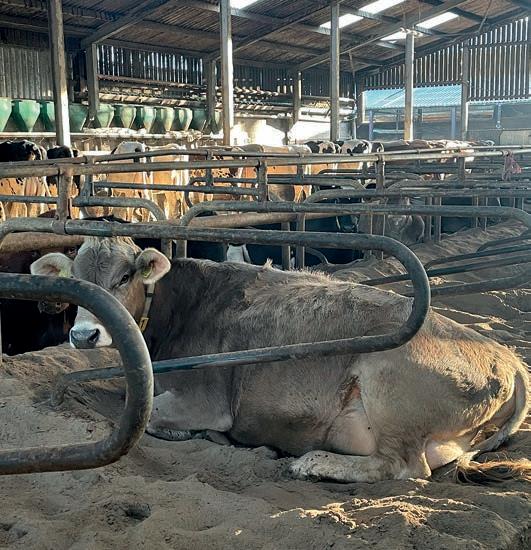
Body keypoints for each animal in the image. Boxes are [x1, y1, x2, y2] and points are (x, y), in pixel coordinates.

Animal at [32, 237, 530, 483]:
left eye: (124, 277)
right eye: (75, 280)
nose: (83, 334)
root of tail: (509, 358)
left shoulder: (206, 399)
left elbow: (151, 415)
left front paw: (198, 434)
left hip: (387, 380)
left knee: (406, 468)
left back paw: (312, 463)